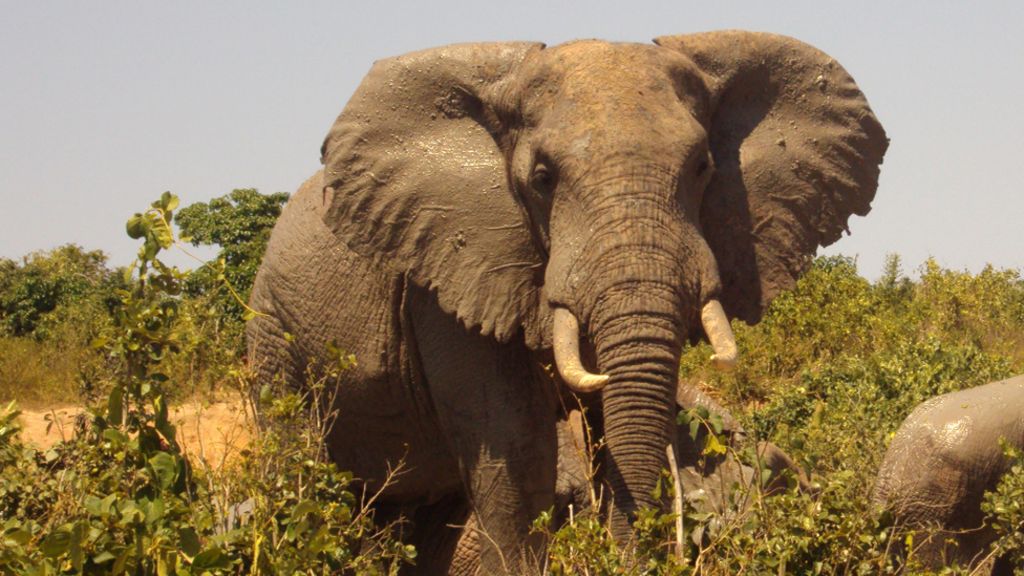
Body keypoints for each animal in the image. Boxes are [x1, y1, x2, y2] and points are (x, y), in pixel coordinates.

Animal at [247, 32, 887, 573]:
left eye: (704, 166)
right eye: (542, 177)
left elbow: (613, 428)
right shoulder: (444, 272)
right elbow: (517, 448)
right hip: (273, 340)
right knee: (302, 475)